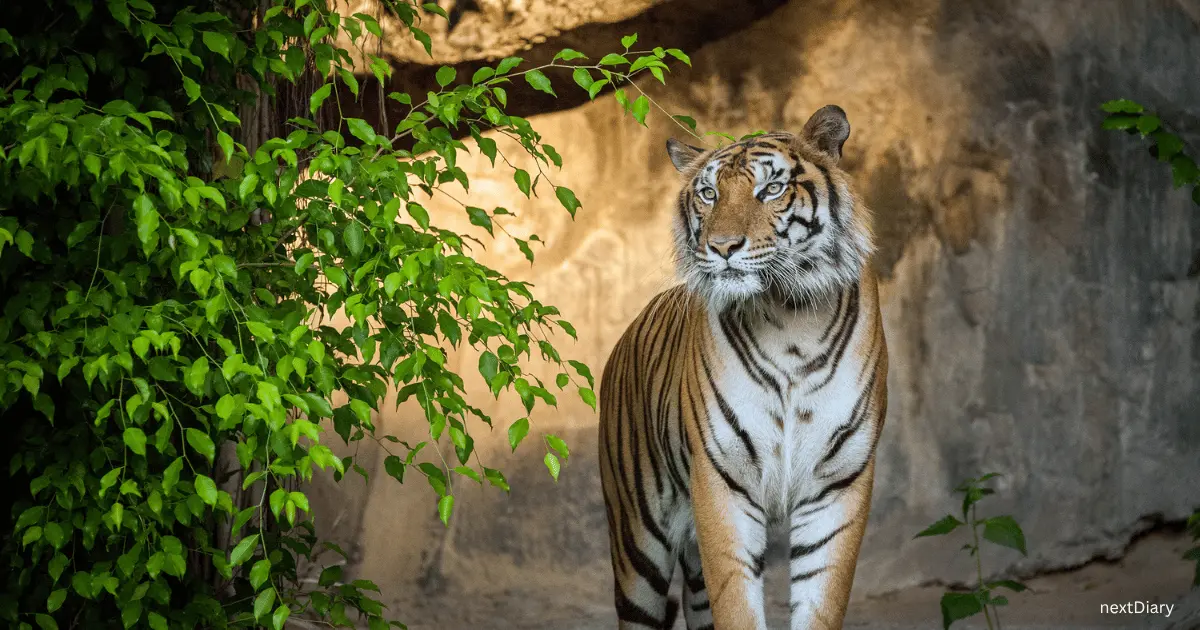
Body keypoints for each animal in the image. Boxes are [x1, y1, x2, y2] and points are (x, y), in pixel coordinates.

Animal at [597, 105, 889, 630]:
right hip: (637, 539)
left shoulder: (838, 484)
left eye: (771, 189)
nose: (722, 246)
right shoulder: (721, 482)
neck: (791, 319)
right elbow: (737, 603)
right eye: (709, 194)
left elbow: (821, 602)